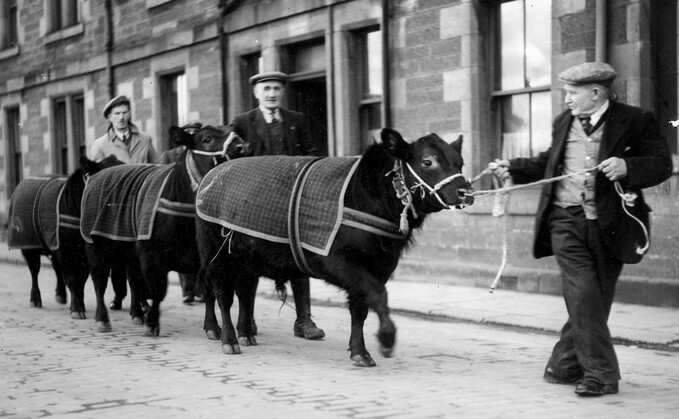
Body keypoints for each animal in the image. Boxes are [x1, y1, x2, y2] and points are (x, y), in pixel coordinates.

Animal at [195, 129, 472, 368]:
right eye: (428, 161)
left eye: (460, 162)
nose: (466, 191)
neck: (367, 194)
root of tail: (212, 176)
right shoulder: (339, 261)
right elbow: (378, 295)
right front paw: (386, 339)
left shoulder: (380, 266)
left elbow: (360, 309)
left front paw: (360, 352)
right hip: (216, 256)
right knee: (221, 295)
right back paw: (227, 338)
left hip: (247, 260)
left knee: (245, 292)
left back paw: (245, 334)